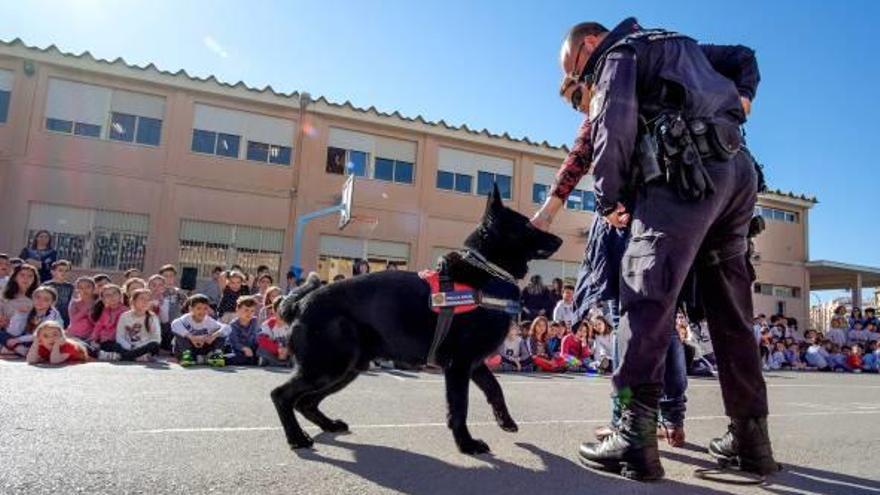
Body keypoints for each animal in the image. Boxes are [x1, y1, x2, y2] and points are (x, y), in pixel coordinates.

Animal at [276, 185, 564, 454]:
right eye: (527, 224)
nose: (560, 239)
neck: (487, 270)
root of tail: (300, 303)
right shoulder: (458, 366)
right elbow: (459, 408)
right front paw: (466, 444)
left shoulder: (474, 363)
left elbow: (495, 389)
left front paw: (504, 420)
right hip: (330, 366)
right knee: (281, 395)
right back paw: (296, 437)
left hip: (346, 368)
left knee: (305, 402)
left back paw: (328, 426)